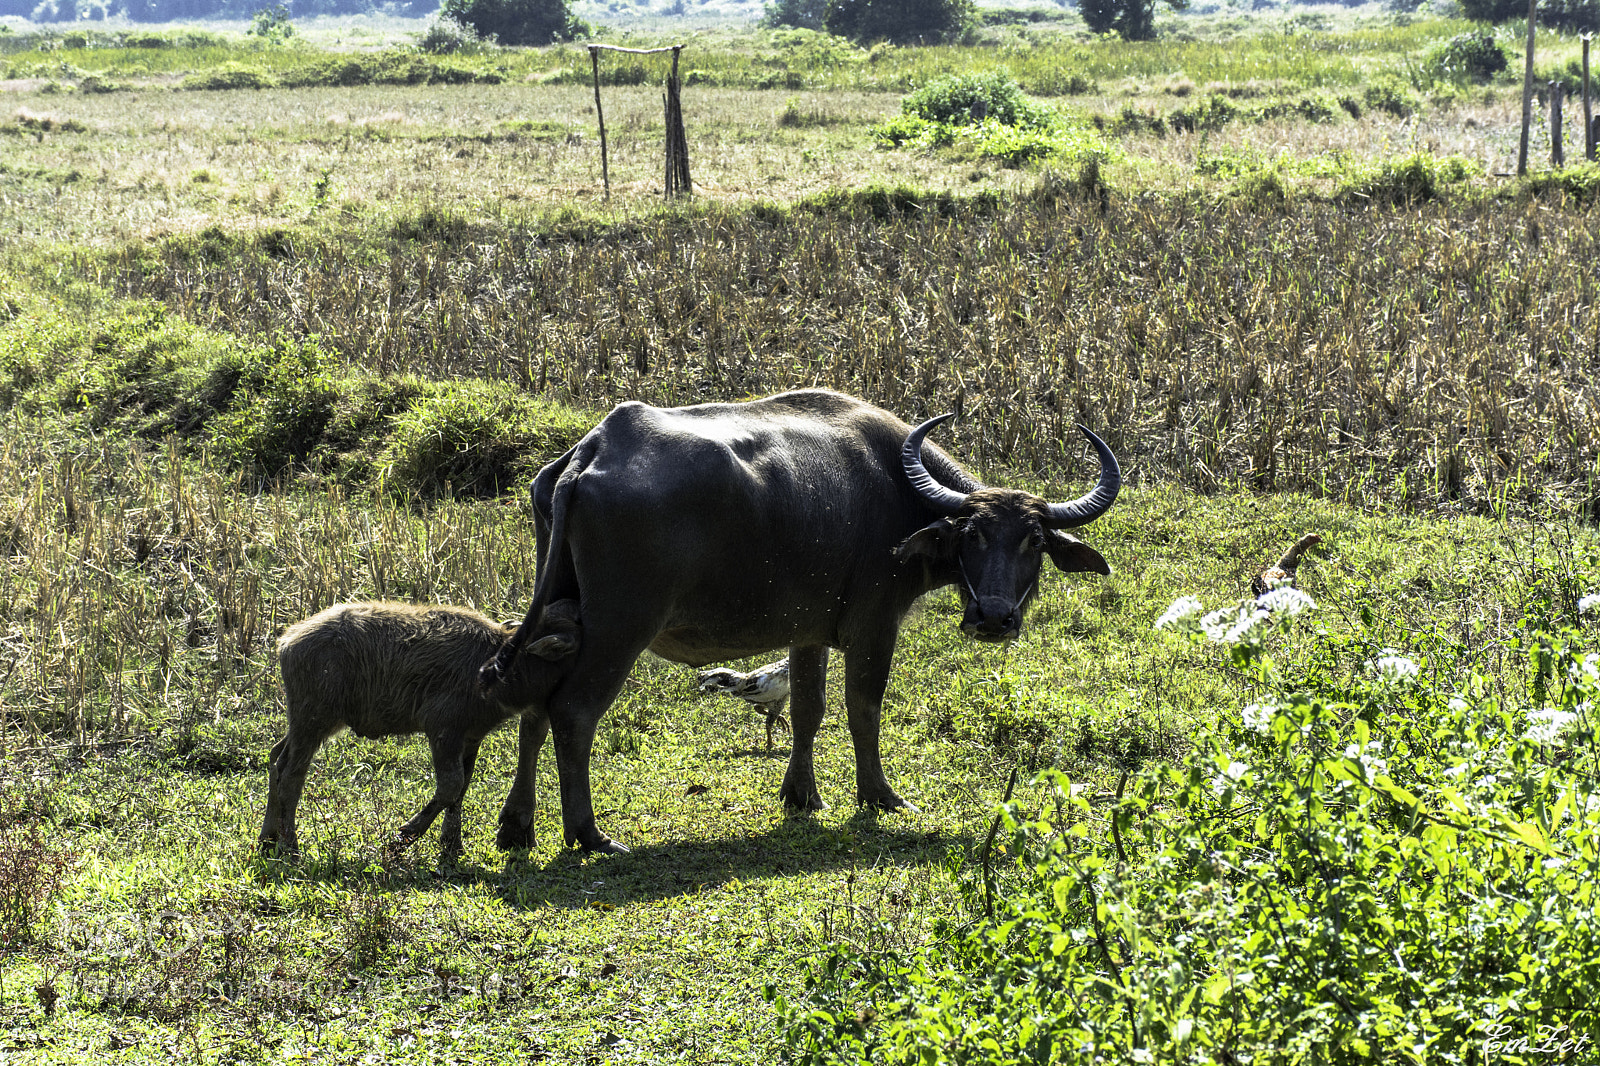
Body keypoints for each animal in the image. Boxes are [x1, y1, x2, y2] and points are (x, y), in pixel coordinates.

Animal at [481, 389, 1118, 853]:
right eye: (973, 535)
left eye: (1033, 539)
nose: (994, 617)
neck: (898, 494)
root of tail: (588, 455)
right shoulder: (873, 626)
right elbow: (863, 708)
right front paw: (880, 795)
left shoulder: (807, 632)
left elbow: (809, 711)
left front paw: (801, 795)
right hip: (620, 628)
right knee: (573, 711)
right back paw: (589, 834)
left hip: (558, 615)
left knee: (535, 707)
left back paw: (517, 827)